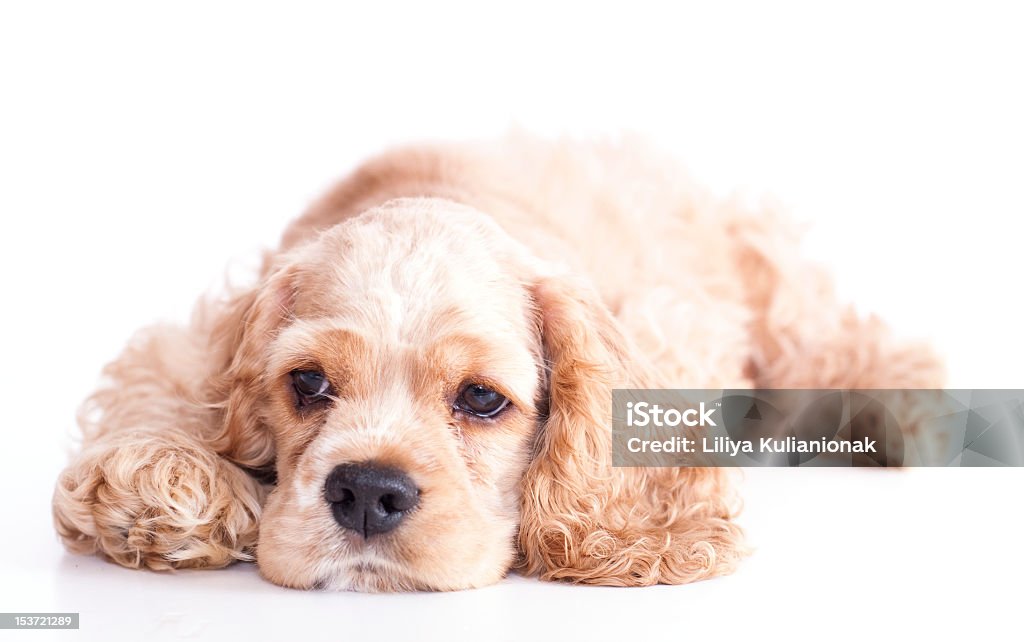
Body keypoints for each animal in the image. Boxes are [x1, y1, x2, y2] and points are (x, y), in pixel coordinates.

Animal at [51, 138, 937, 589]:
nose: (367, 492)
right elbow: (169, 388)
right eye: (308, 383)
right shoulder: (205, 332)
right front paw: (162, 483)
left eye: (481, 399)